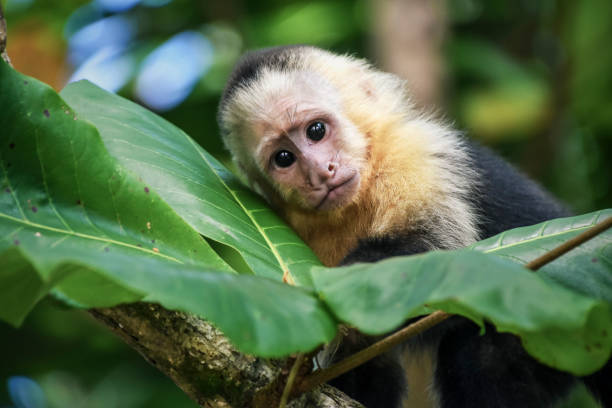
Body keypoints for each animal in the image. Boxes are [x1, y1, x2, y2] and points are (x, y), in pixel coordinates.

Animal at [218, 46, 608, 408]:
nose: (319, 173)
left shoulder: (412, 154)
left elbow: (442, 252)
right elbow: (363, 362)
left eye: (316, 130)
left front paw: (343, 280)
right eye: (284, 158)